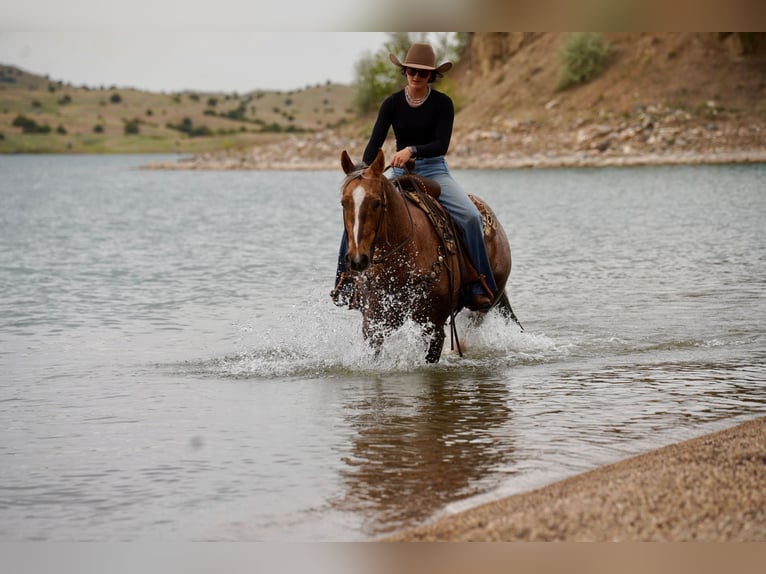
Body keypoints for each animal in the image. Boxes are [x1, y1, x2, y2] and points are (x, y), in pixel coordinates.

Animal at [338, 148, 518, 363]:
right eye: (343, 203)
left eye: (376, 202)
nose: (358, 259)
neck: (399, 263)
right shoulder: (374, 323)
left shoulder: (433, 328)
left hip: (482, 308)